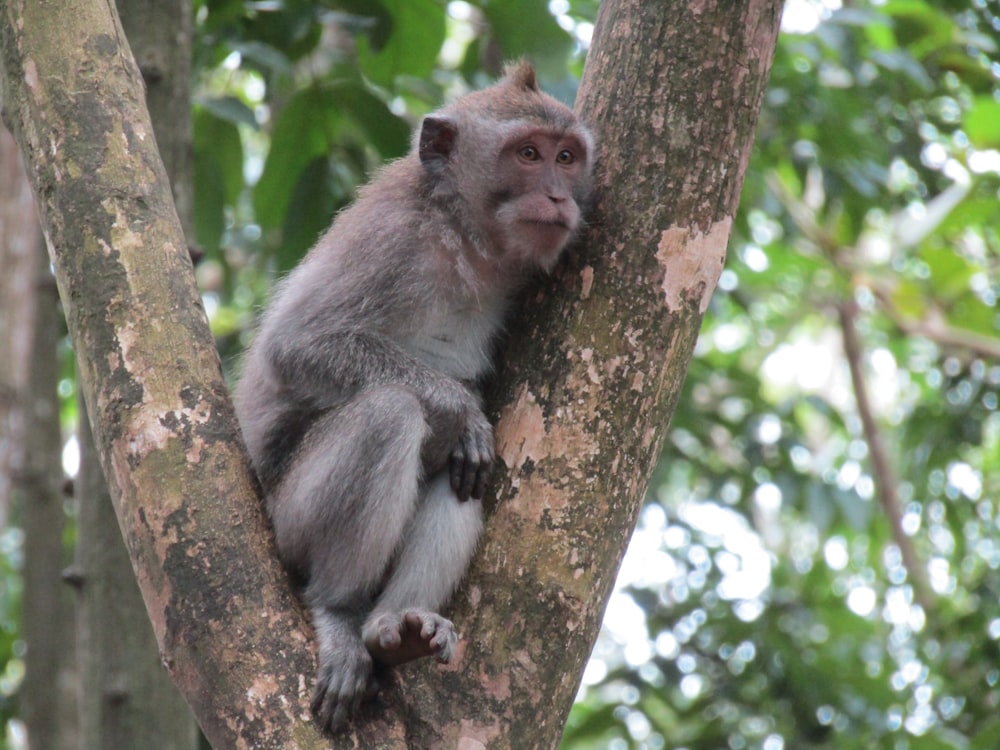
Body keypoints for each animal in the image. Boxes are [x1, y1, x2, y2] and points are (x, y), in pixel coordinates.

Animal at [234, 63, 592, 736]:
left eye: (567, 157)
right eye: (528, 155)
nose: (561, 197)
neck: (464, 238)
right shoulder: (391, 242)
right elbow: (296, 343)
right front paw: (459, 408)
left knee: (462, 477)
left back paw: (392, 628)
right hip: (285, 522)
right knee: (390, 415)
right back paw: (339, 611)